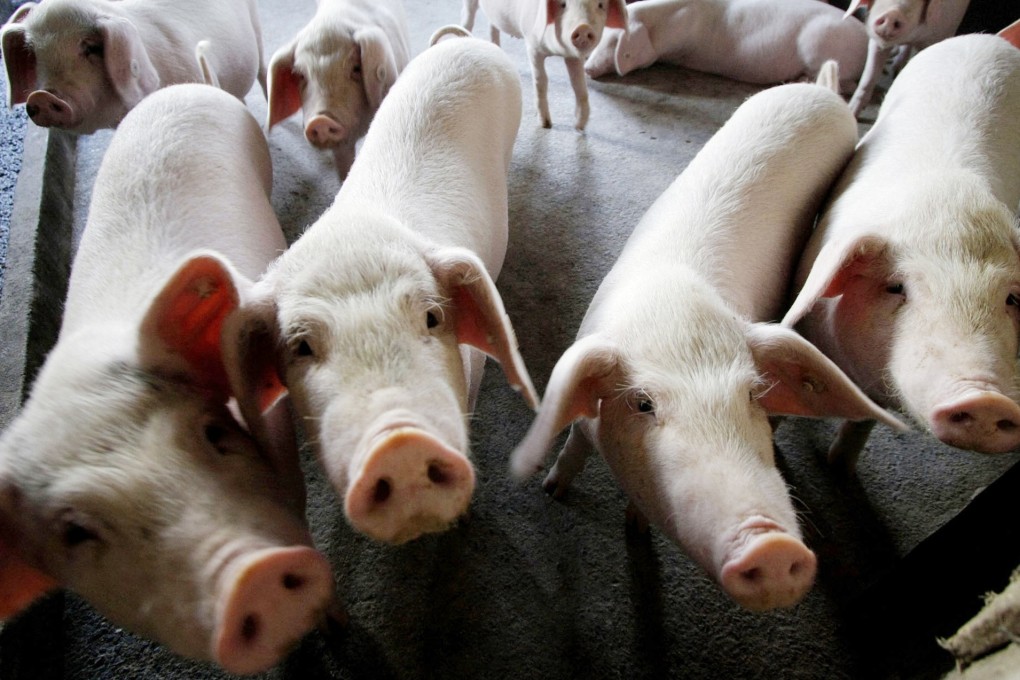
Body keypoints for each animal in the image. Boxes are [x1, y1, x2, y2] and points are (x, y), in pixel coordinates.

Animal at [462, 0, 628, 130]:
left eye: (600, 5)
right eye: (563, 4)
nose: (583, 27)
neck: (556, 51)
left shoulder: (573, 56)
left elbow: (579, 85)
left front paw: (580, 126)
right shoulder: (533, 46)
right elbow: (541, 80)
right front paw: (546, 124)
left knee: (492, 25)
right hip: (470, 5)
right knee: (468, 18)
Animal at [510, 66, 905, 611]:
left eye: (752, 395)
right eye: (643, 404)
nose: (772, 545)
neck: (673, 311)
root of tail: (821, 92)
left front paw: (634, 528)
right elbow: (573, 444)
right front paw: (552, 491)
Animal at [583, 0, 869, 94]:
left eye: (614, 43)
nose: (586, 69)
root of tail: (866, 38)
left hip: (819, 44)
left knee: (846, 83)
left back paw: (798, 80)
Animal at [782, 32, 1020, 473]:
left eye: (1012, 298)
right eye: (897, 287)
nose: (986, 399)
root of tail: (984, 39)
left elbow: (862, 423)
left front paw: (839, 466)